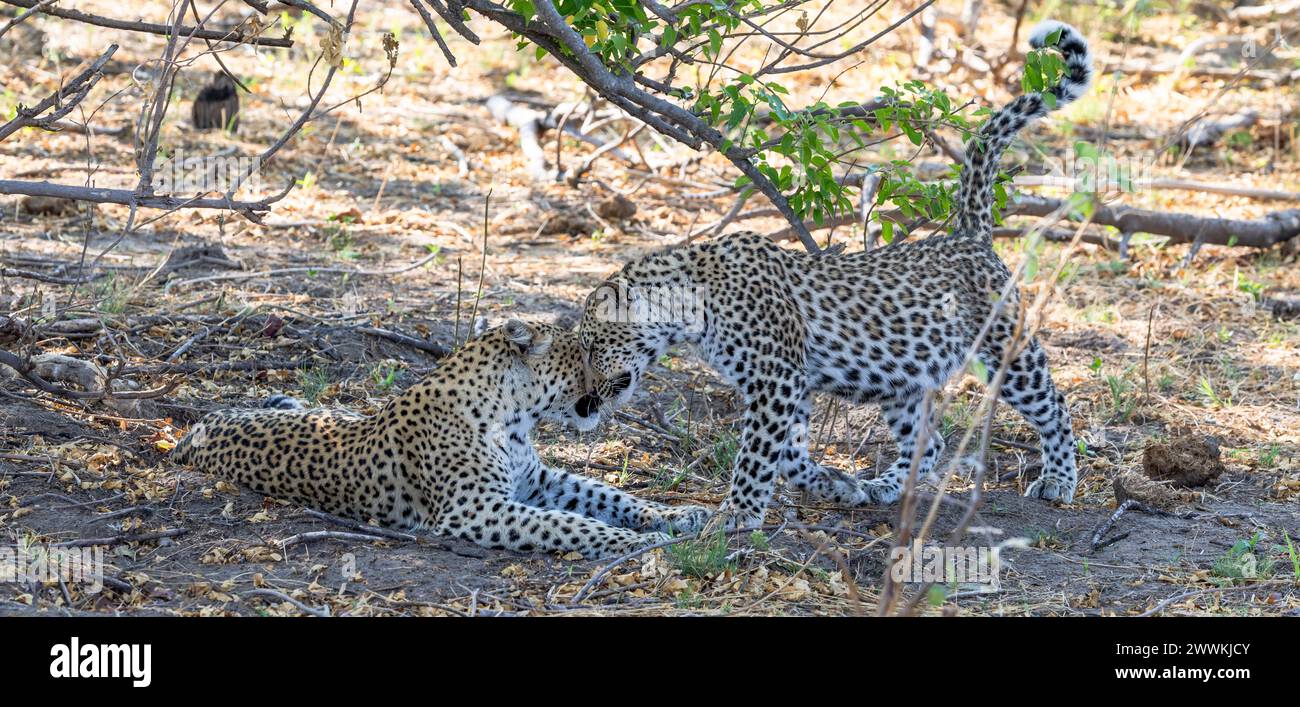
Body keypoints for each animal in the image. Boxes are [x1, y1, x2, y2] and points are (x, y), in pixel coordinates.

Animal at [170, 319, 712, 558]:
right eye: (583, 353)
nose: (620, 383)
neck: (514, 420)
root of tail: (193, 430)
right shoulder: (475, 510)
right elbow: (571, 525)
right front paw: (643, 542)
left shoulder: (538, 482)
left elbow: (609, 496)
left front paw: (681, 515)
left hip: (324, 408)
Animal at [574, 20, 1092, 530]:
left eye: (595, 344)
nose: (584, 404)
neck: (691, 304)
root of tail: (969, 235)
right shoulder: (792, 384)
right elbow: (786, 454)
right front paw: (834, 484)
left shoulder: (777, 377)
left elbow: (758, 453)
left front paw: (737, 513)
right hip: (901, 378)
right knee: (931, 441)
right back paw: (884, 486)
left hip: (1006, 350)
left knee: (1055, 405)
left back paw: (1059, 480)